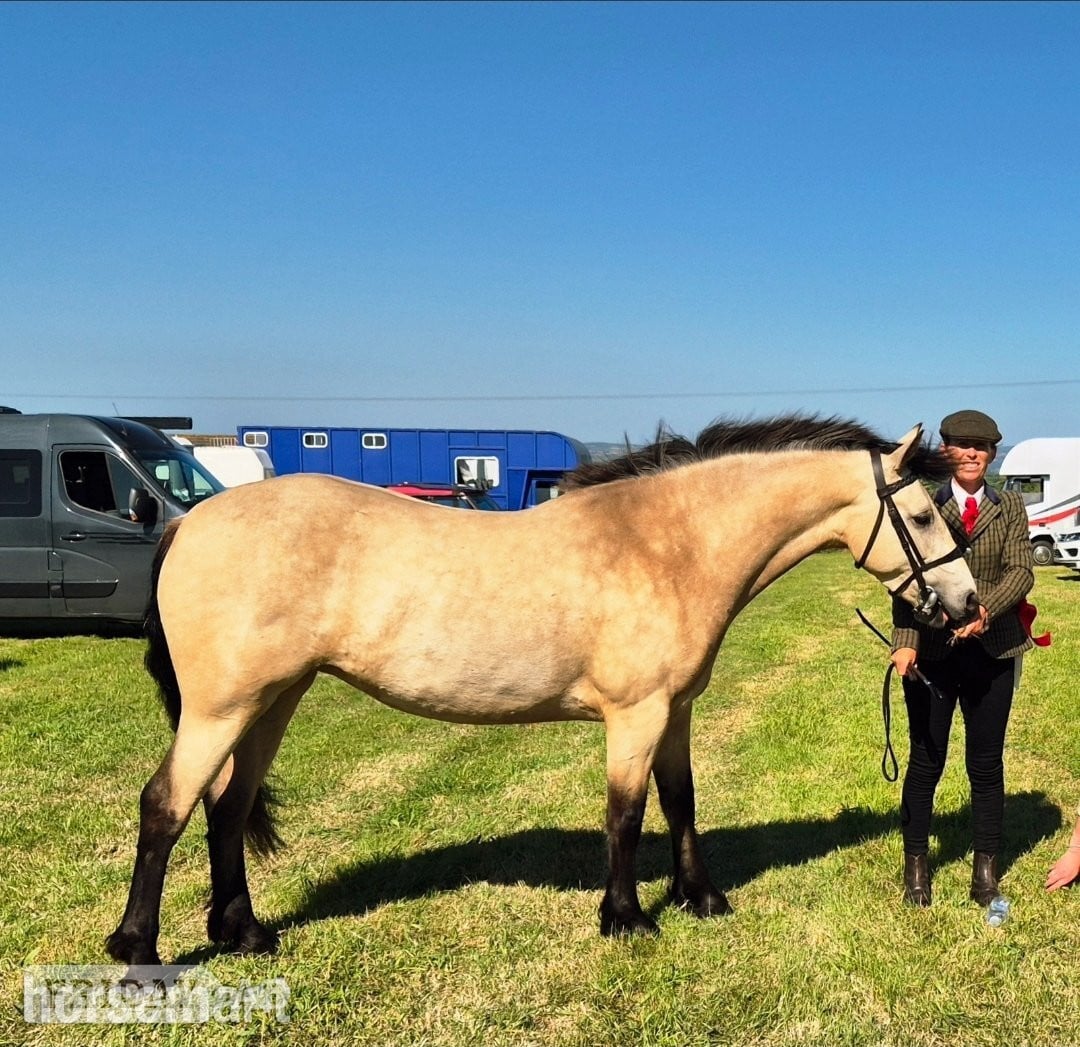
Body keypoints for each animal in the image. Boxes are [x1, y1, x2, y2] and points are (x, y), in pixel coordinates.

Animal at [106, 415, 977, 966]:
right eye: (923, 515)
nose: (965, 603)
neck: (669, 543)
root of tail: (191, 520)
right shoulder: (636, 714)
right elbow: (626, 813)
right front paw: (626, 919)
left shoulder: (676, 711)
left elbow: (681, 801)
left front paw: (701, 898)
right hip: (221, 707)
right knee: (166, 804)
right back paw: (138, 946)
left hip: (272, 700)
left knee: (225, 808)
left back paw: (244, 933)